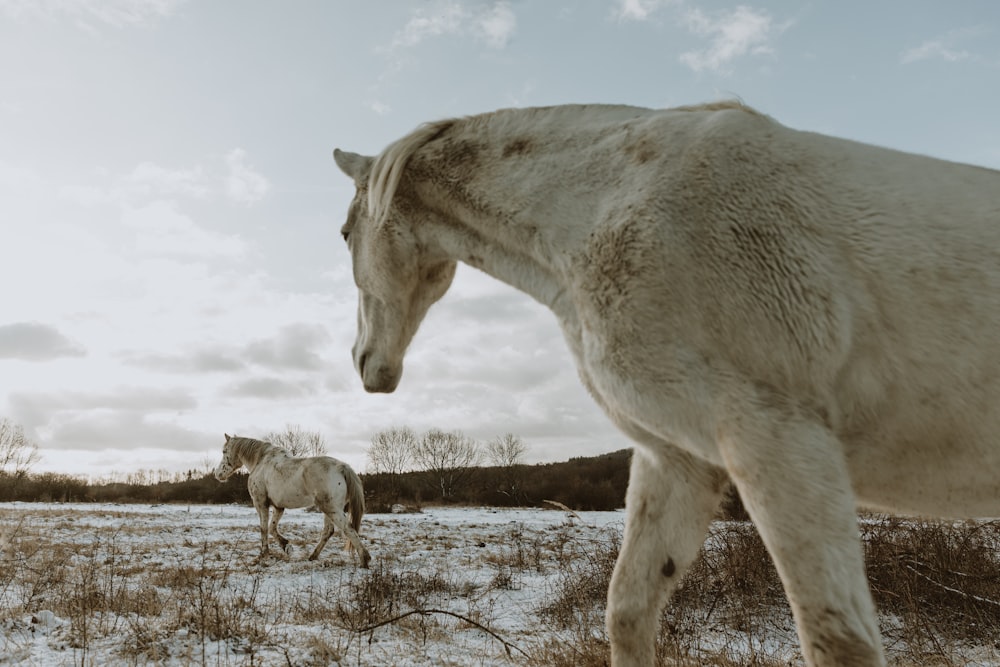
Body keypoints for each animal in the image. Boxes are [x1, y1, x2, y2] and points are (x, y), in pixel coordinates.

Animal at [213, 434, 370, 568]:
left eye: (224, 451)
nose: (218, 474)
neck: (261, 461)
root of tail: (342, 467)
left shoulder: (261, 503)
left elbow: (264, 528)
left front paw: (264, 555)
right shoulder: (278, 507)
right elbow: (272, 528)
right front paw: (286, 546)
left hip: (332, 509)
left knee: (348, 529)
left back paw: (364, 560)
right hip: (330, 509)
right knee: (328, 531)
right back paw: (312, 556)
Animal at [334, 102, 1000, 664]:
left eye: (344, 235)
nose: (365, 363)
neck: (609, 214)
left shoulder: (780, 444)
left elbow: (839, 640)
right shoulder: (677, 460)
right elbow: (628, 610)